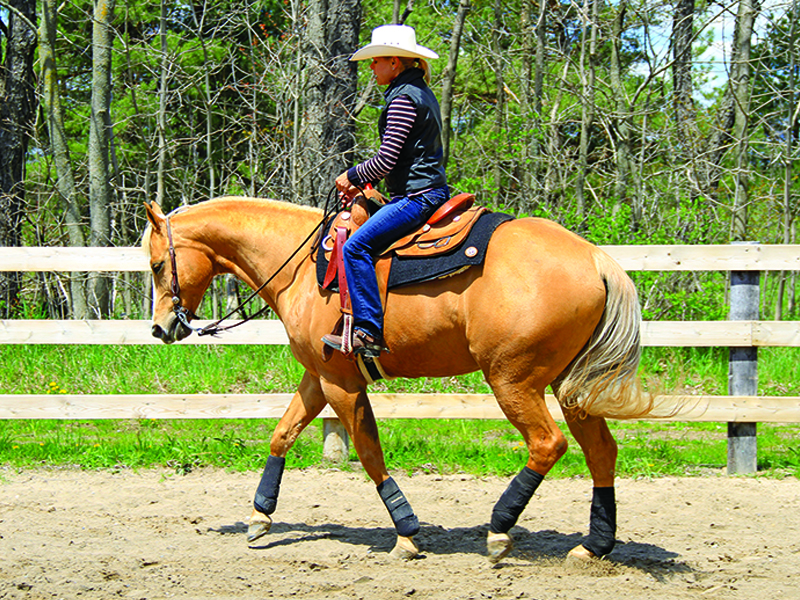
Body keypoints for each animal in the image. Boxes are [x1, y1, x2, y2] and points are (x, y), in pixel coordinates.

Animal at [143, 195, 651, 562]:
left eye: (156, 265)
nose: (161, 328)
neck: (303, 267)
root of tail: (595, 259)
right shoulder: (318, 375)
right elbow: (282, 434)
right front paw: (259, 515)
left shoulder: (342, 384)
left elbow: (369, 452)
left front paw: (406, 532)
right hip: (570, 385)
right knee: (601, 451)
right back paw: (593, 546)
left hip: (514, 380)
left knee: (549, 444)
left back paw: (500, 529)